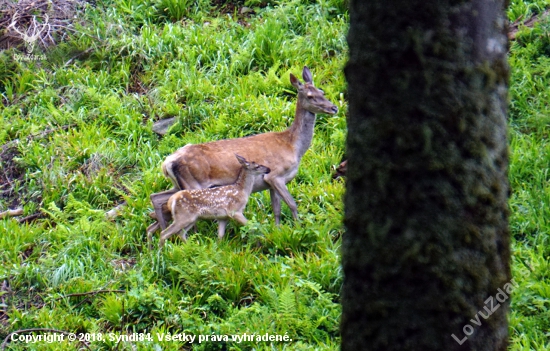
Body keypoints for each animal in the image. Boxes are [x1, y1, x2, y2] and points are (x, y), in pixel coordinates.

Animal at [149, 67, 338, 234]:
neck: (293, 146)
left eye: (322, 91)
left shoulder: (270, 182)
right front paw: (299, 228)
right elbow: (292, 203)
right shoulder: (275, 175)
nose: (334, 108)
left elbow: (276, 209)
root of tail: (166, 163)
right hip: (193, 183)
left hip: (177, 184)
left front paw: (278, 231)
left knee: (156, 198)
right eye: (310, 96)